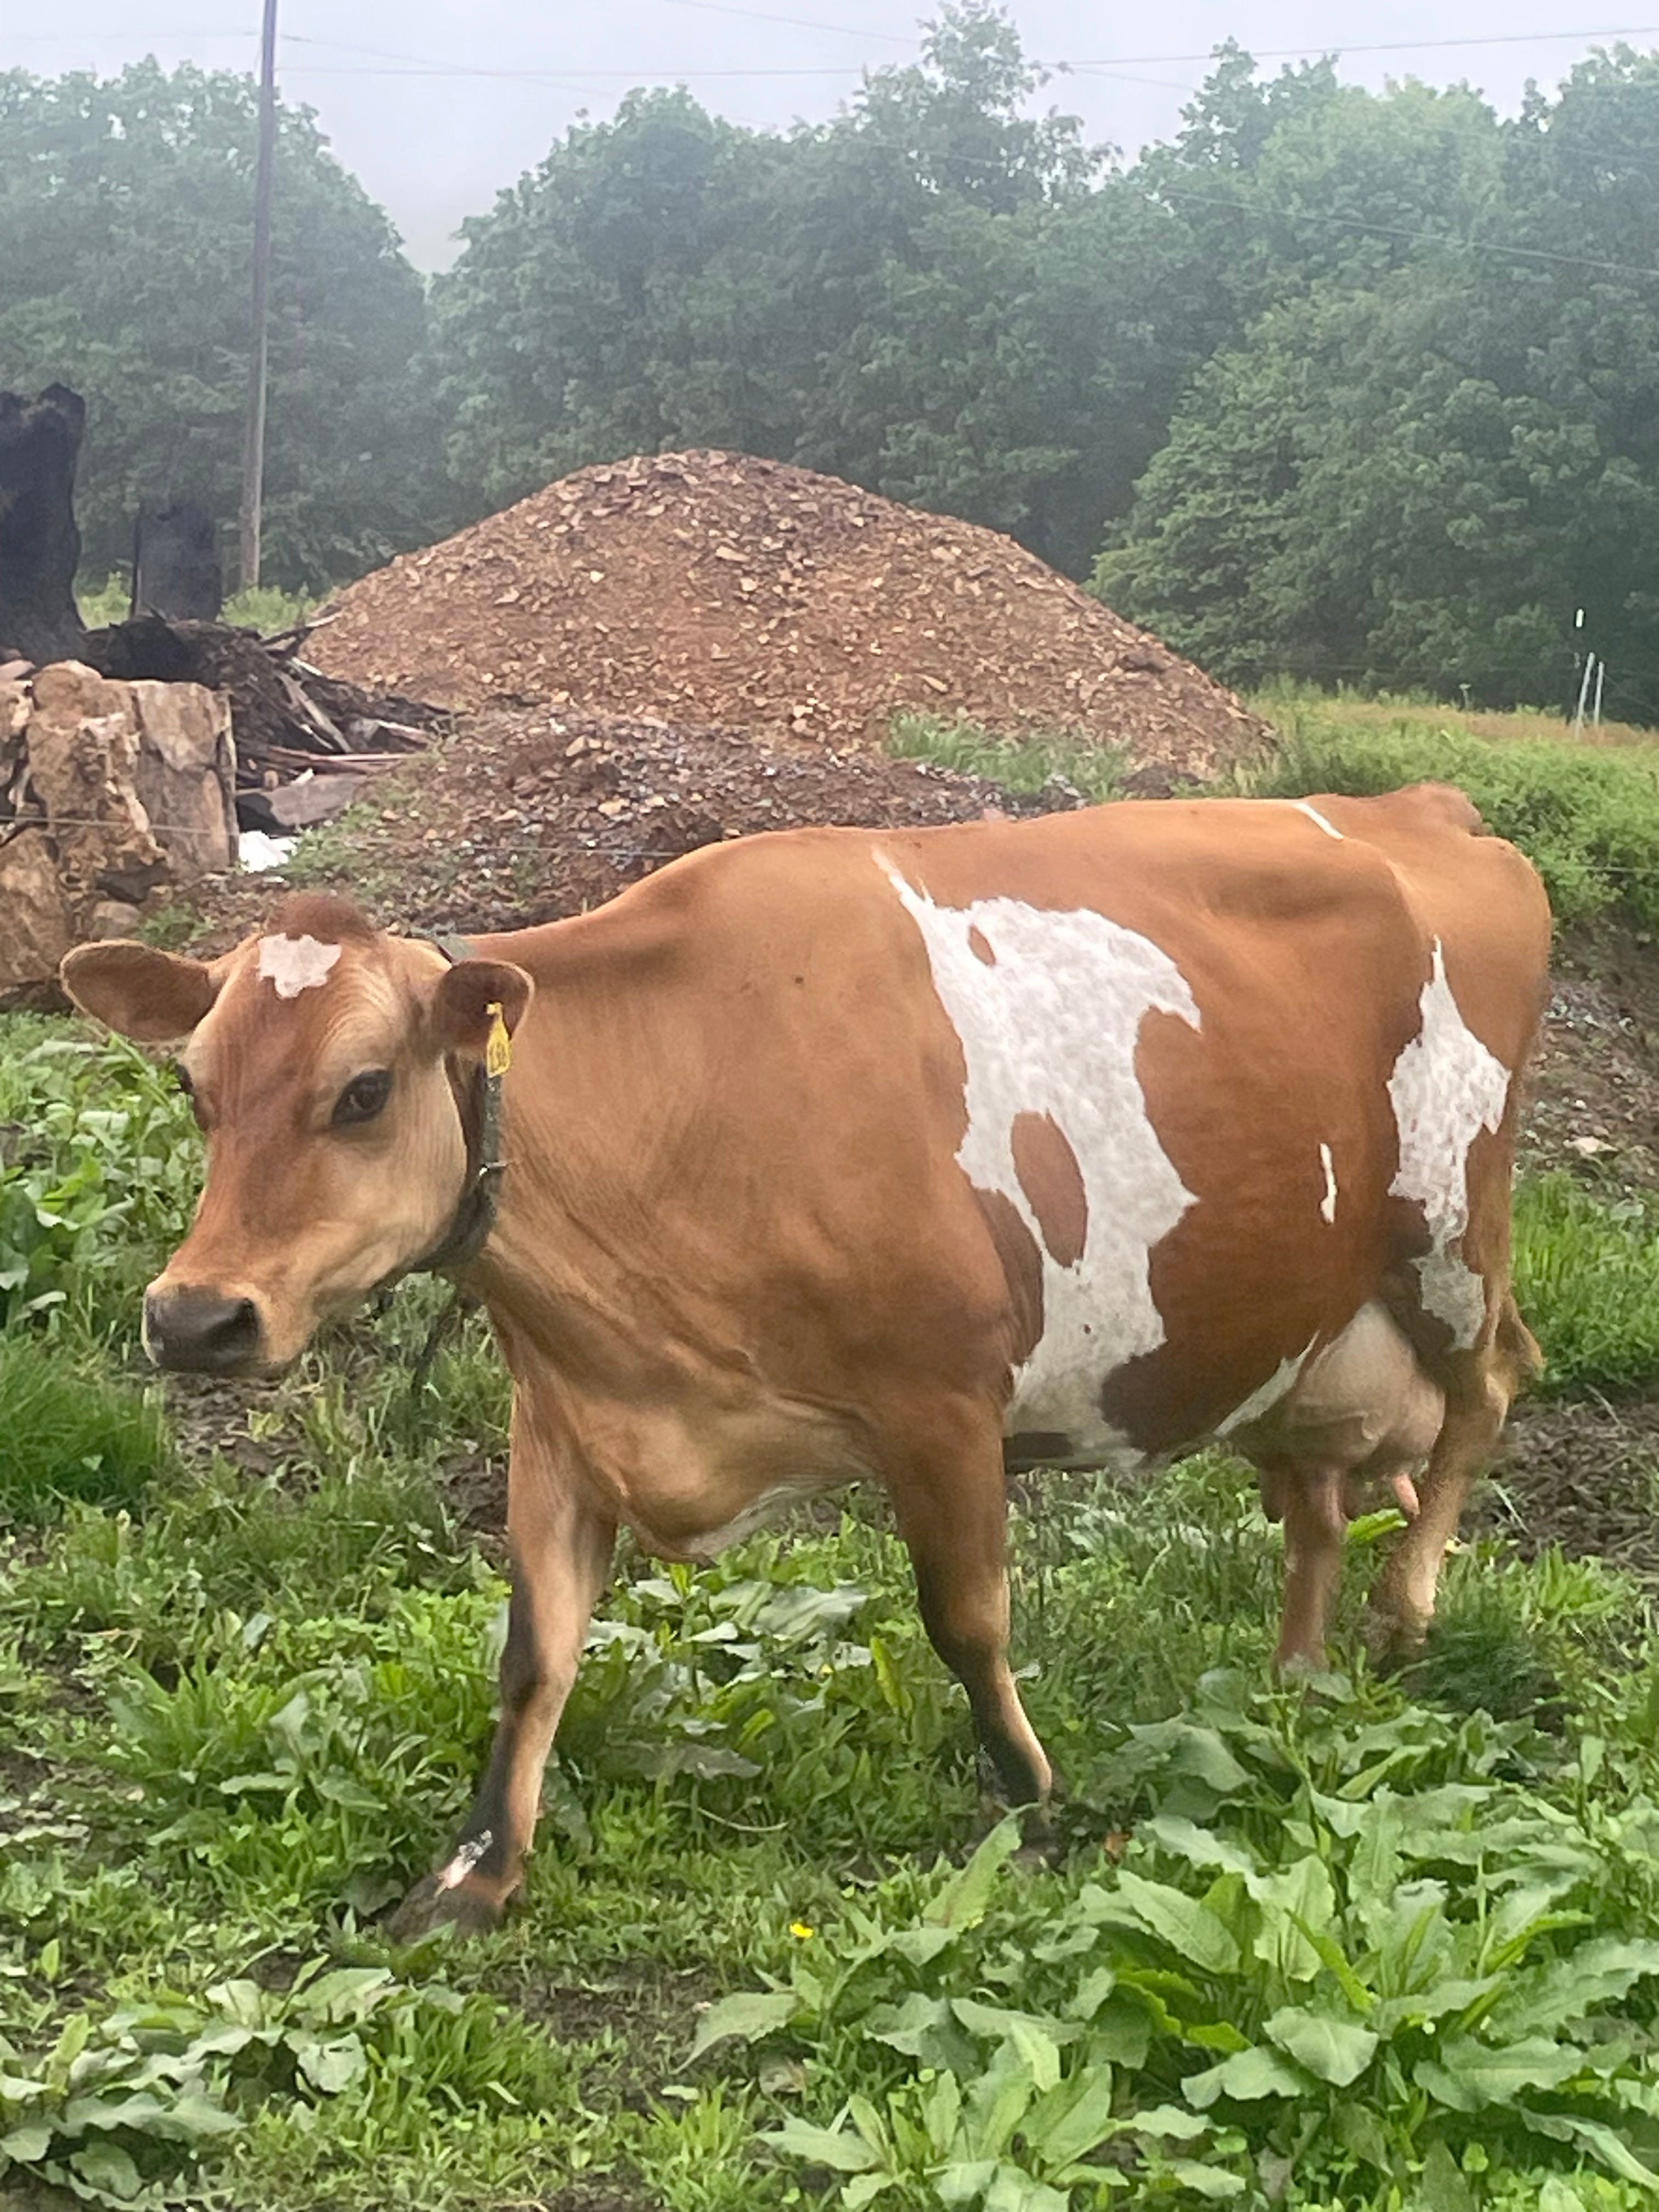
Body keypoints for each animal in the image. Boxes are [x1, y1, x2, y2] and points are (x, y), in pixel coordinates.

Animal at [60, 782, 1550, 1935]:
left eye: (364, 1091)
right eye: (194, 1088)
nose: (194, 1318)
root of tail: (1426, 809)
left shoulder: (943, 1396)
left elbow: (967, 1618)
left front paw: (1037, 1806)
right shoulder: (566, 1417)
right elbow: (535, 1655)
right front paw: (477, 1872)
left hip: (1450, 1242)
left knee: (1492, 1388)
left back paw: (1408, 1611)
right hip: (1296, 1321)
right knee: (1317, 1496)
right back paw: (1298, 1677)